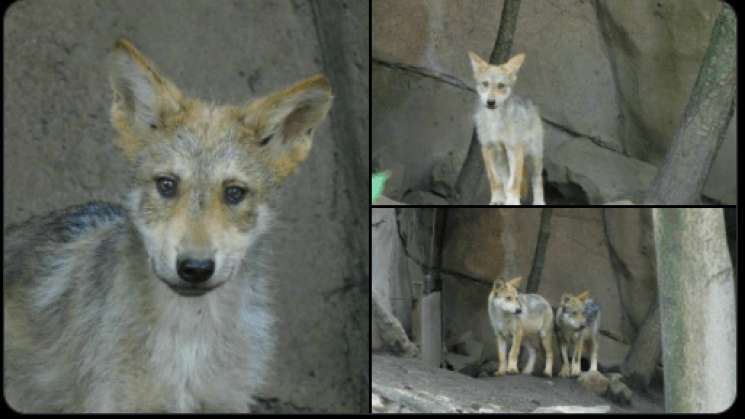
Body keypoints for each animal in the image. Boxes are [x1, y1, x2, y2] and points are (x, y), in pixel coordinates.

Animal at [468, 51, 545, 206]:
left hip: (533, 157)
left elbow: (514, 182)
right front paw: (497, 200)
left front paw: (513, 202)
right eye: (485, 84)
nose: (491, 102)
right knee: (505, 180)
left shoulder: (515, 149)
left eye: (501, 85)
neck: (495, 121)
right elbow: (495, 180)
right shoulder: (487, 148)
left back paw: (539, 203)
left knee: (537, 180)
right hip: (501, 160)